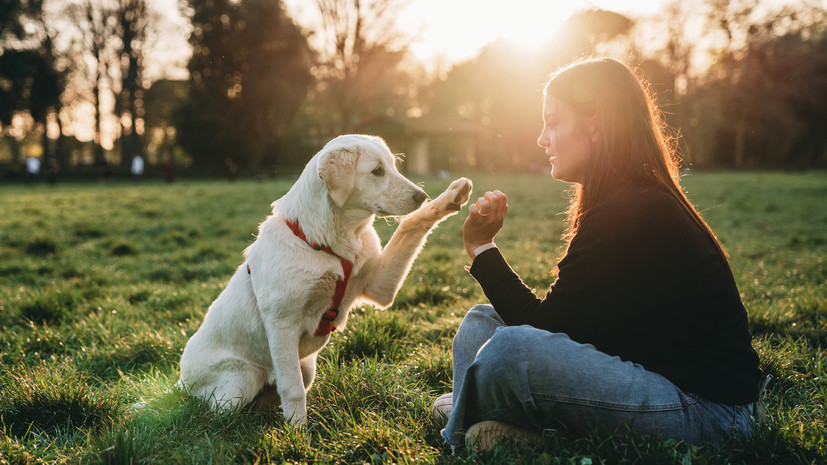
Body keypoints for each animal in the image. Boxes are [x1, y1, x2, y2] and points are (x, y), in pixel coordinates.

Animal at [179, 133, 472, 424]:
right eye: (377, 171)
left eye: (393, 166)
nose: (421, 195)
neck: (327, 243)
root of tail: (179, 382)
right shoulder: (282, 323)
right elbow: (293, 389)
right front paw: (297, 433)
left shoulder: (379, 286)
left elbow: (411, 224)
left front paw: (449, 198)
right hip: (242, 378)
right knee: (219, 412)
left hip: (306, 367)